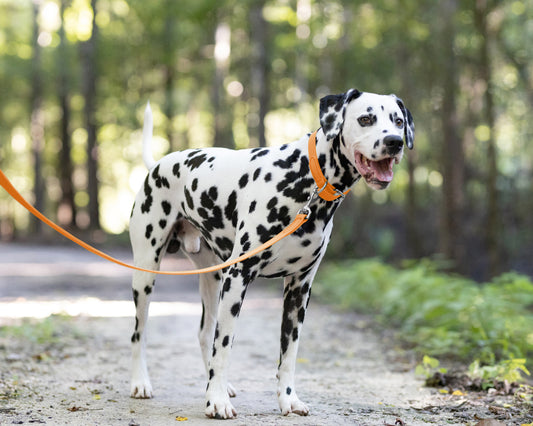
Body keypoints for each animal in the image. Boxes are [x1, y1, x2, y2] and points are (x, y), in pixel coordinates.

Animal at [128, 88, 412, 418]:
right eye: (366, 118)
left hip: (212, 279)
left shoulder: (298, 290)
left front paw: (288, 400)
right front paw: (216, 402)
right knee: (140, 333)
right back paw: (141, 383)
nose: (394, 141)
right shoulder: (238, 278)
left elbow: (288, 354)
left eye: (398, 120)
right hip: (146, 275)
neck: (306, 179)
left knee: (204, 333)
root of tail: (159, 164)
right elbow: (225, 345)